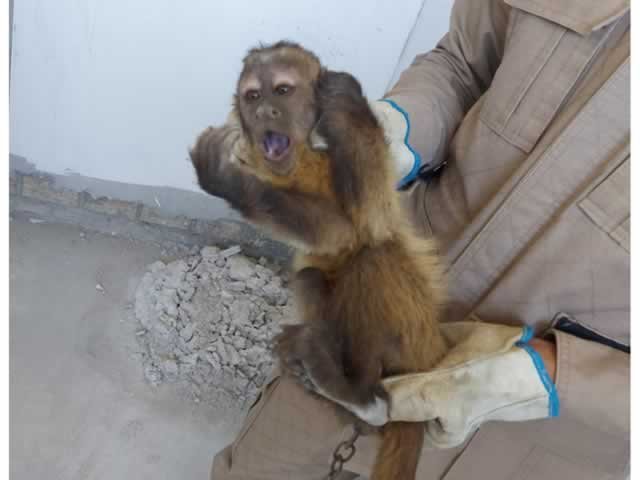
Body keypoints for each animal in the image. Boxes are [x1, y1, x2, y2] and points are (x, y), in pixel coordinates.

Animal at [189, 41, 448, 480]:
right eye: (253, 96)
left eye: (282, 90)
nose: (264, 112)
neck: (304, 158)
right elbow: (333, 235)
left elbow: (362, 225)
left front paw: (349, 104)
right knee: (311, 277)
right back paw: (321, 362)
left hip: (410, 340)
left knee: (372, 257)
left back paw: (359, 395)